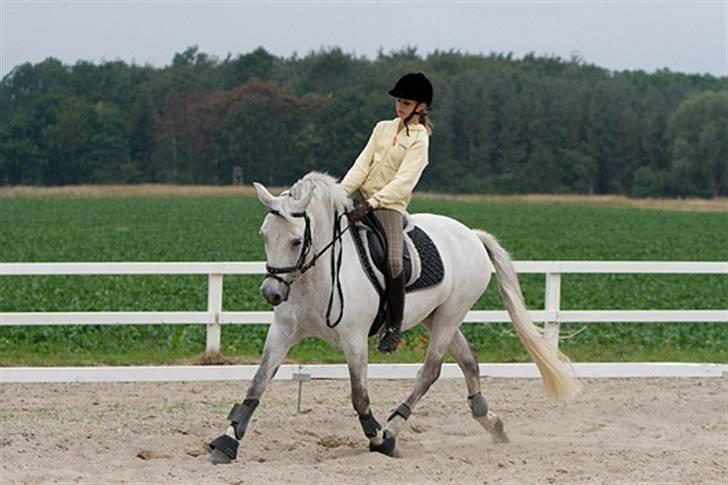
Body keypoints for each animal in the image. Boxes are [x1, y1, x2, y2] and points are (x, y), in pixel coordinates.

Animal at [208, 171, 581, 464]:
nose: (271, 293)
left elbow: (359, 395)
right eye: (264, 235)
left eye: (297, 240)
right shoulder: (283, 332)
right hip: (435, 316)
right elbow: (257, 383)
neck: (316, 273)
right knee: (468, 360)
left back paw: (393, 428)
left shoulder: (354, 339)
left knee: (430, 370)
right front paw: (227, 442)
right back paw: (490, 421)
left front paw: (377, 437)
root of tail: (471, 235)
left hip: (450, 315)